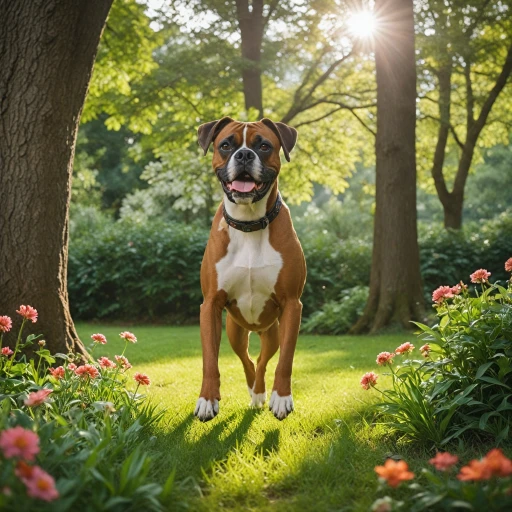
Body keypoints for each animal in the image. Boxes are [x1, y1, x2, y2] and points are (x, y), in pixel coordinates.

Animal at [195, 118, 306, 422]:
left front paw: (282, 398)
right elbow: (210, 360)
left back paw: (260, 393)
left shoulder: (292, 305)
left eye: (264, 146)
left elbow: (286, 360)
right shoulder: (210, 305)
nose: (244, 155)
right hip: (235, 331)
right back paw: (251, 392)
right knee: (246, 361)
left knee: (262, 360)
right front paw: (207, 400)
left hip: (272, 333)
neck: (249, 224)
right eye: (225, 145)